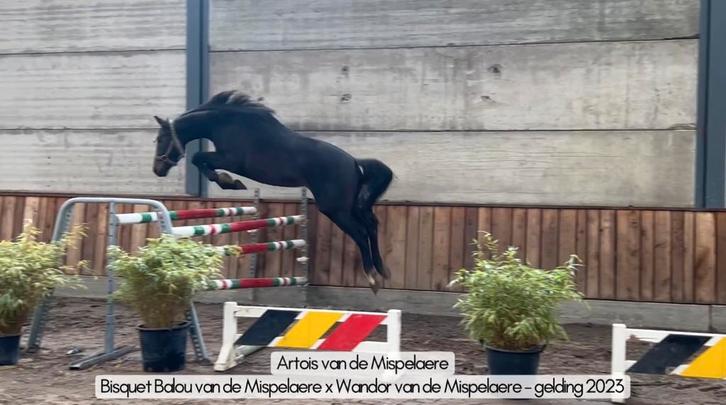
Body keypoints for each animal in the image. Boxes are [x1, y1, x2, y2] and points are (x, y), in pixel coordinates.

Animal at [151, 90, 394, 293]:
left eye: (161, 139)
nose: (157, 169)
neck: (225, 123)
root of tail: (354, 163)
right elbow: (201, 161)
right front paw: (230, 181)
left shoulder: (231, 160)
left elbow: (198, 158)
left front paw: (229, 182)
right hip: (352, 206)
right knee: (372, 226)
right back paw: (382, 270)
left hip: (336, 210)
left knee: (360, 233)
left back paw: (372, 278)